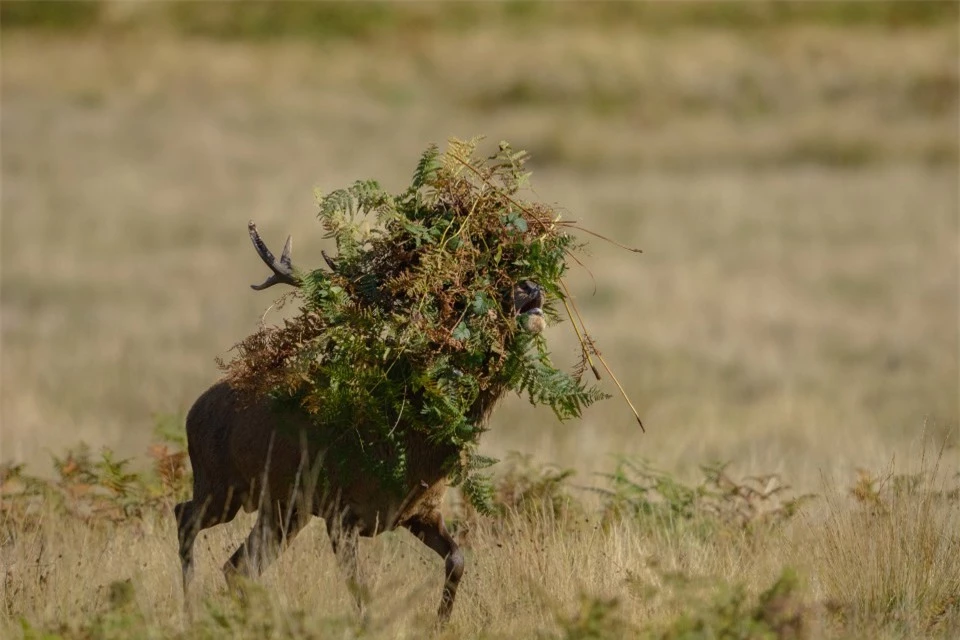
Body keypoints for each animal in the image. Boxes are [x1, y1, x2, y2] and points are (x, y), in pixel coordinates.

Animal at [174, 222, 548, 624]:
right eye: (468, 298)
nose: (531, 286)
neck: (409, 447)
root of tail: (193, 411)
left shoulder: (420, 511)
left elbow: (458, 559)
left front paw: (441, 623)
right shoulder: (341, 511)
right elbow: (362, 593)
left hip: (281, 507)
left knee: (236, 566)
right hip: (222, 484)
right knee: (185, 518)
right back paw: (190, 611)